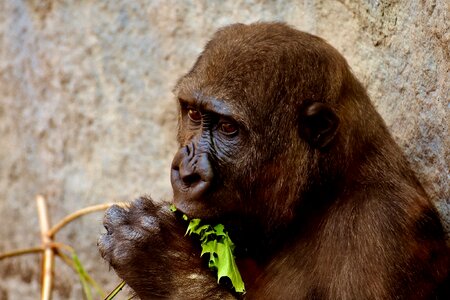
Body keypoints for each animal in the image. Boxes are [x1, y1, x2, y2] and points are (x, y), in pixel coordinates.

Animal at [96, 22, 448, 298]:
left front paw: (161, 262)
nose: (185, 172)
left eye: (228, 128)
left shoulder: (383, 226)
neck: (324, 191)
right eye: (193, 113)